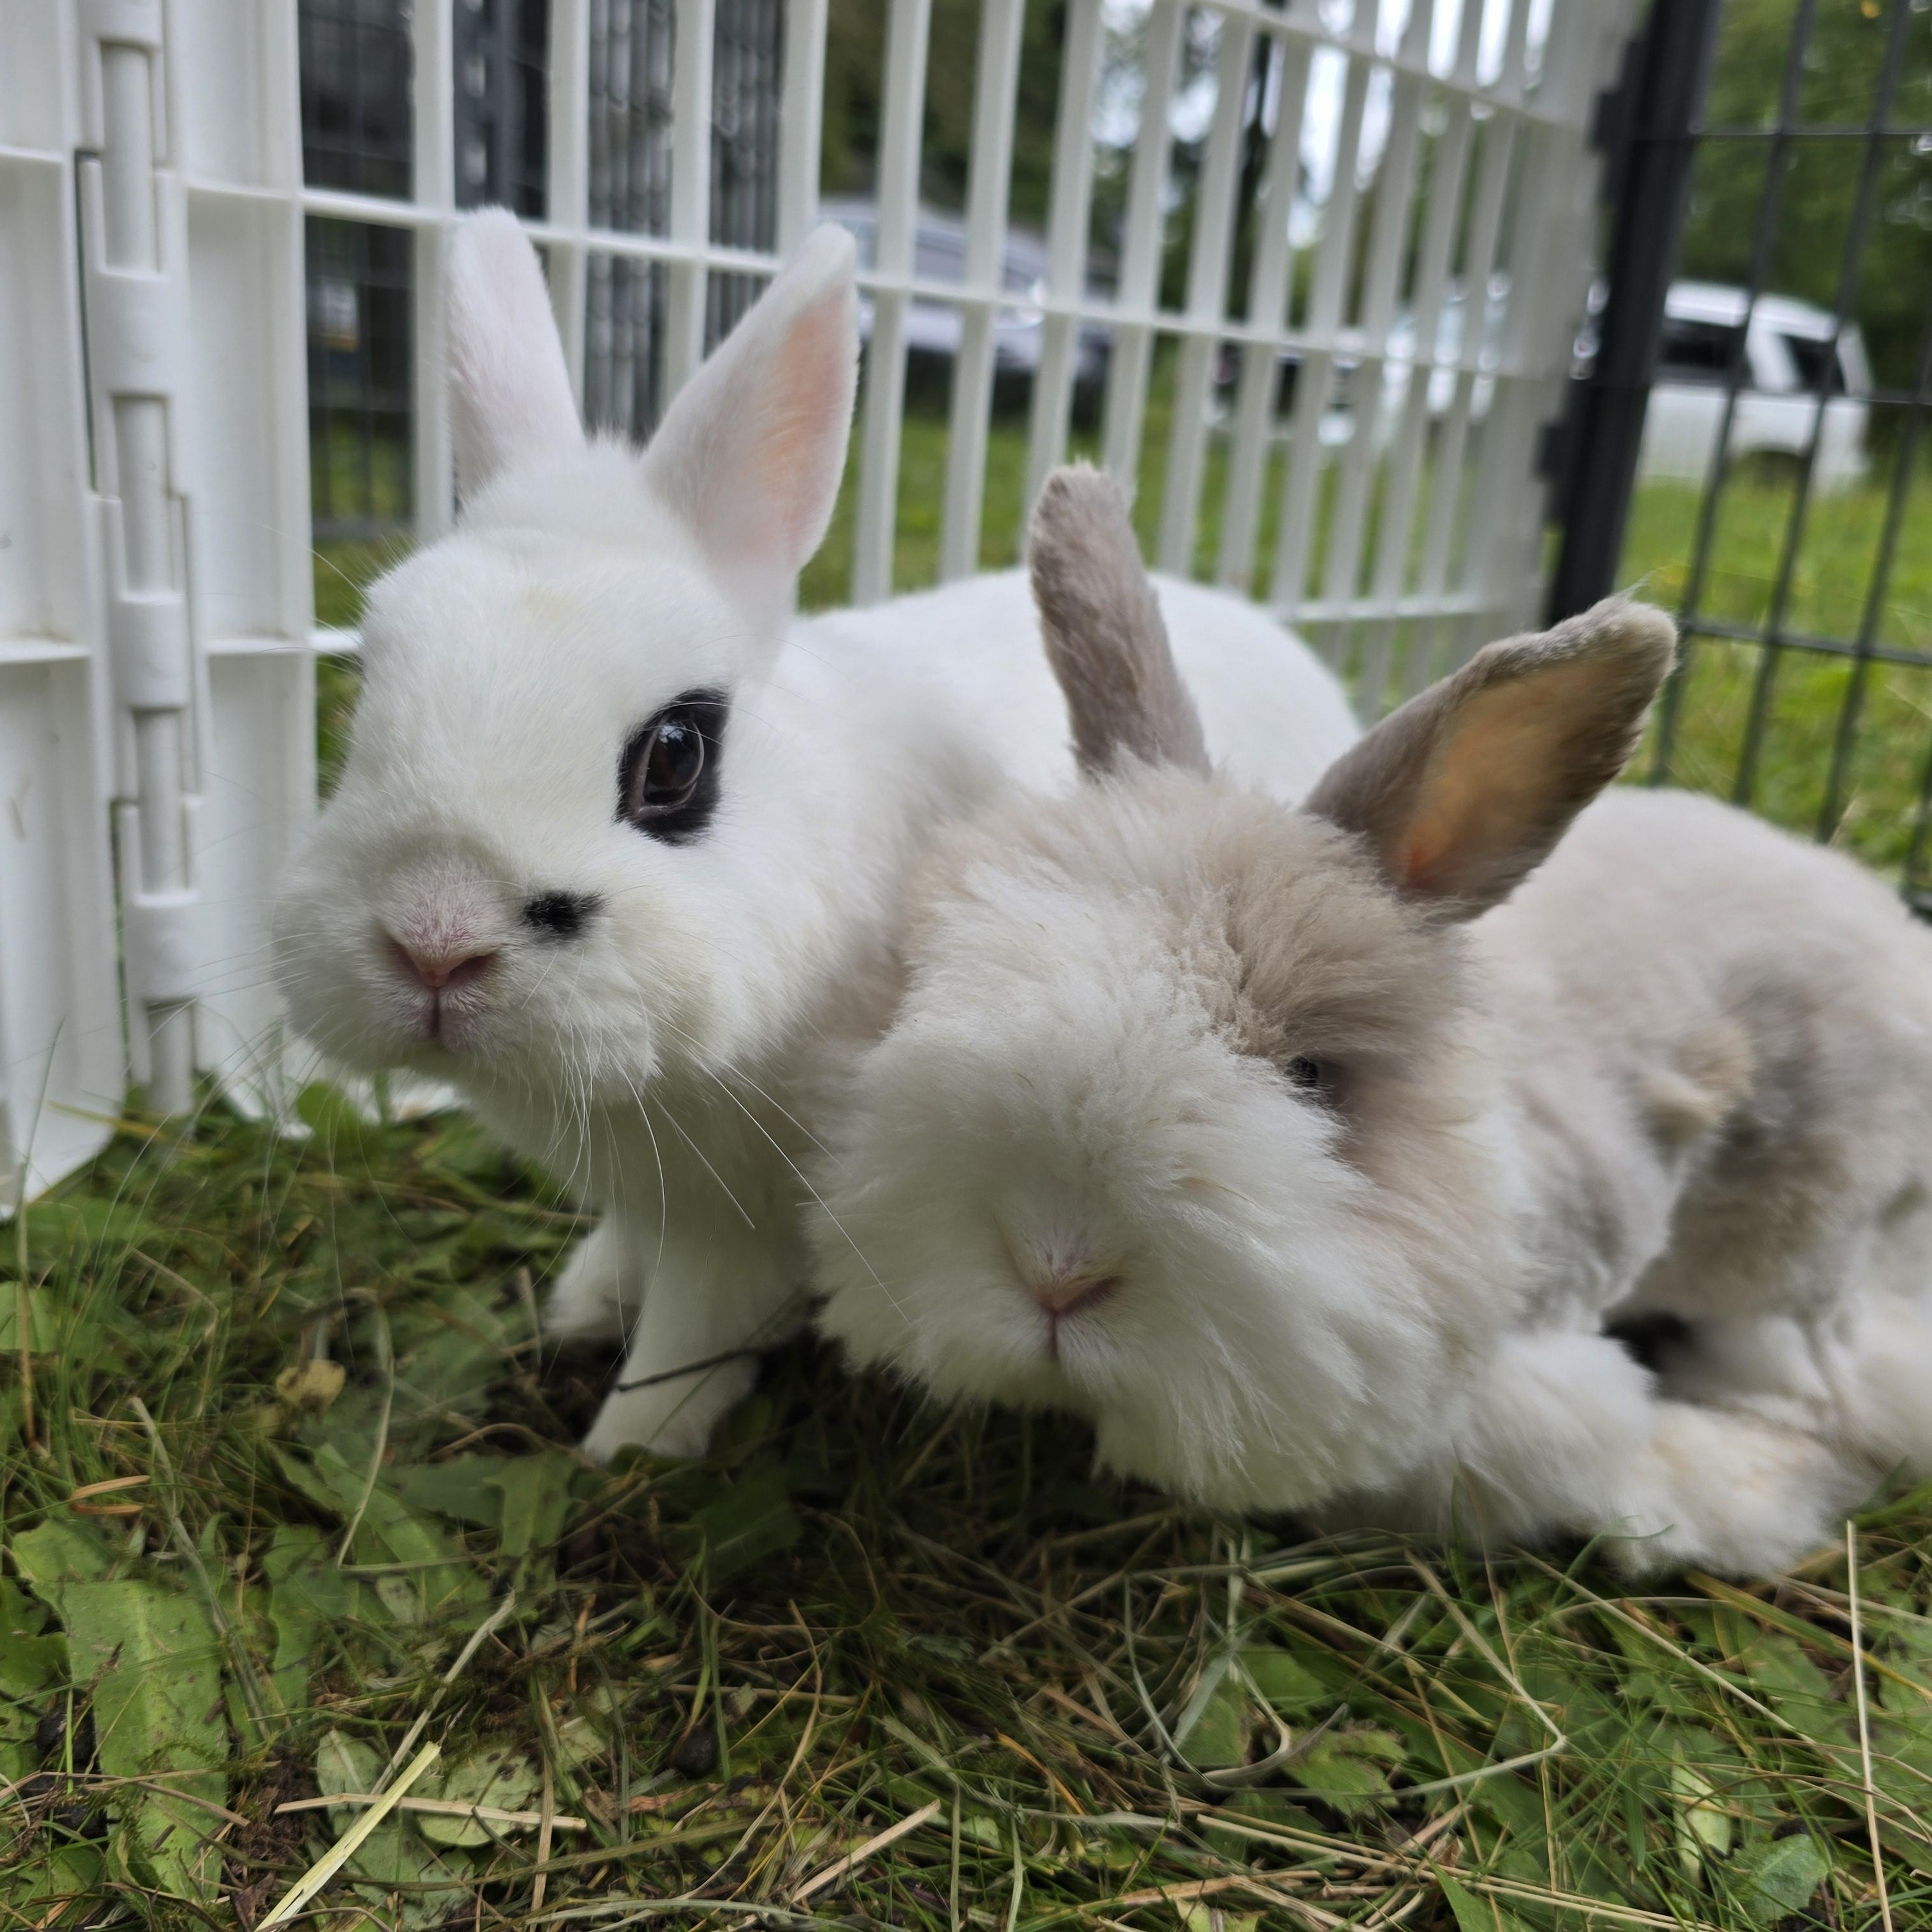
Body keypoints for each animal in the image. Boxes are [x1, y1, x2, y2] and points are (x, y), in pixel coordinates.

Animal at [272, 216, 1360, 1464]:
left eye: (676, 755)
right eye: (365, 693)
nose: (434, 941)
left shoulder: (740, 1225)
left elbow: (692, 1333)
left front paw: (627, 1449)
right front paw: (586, 1301)